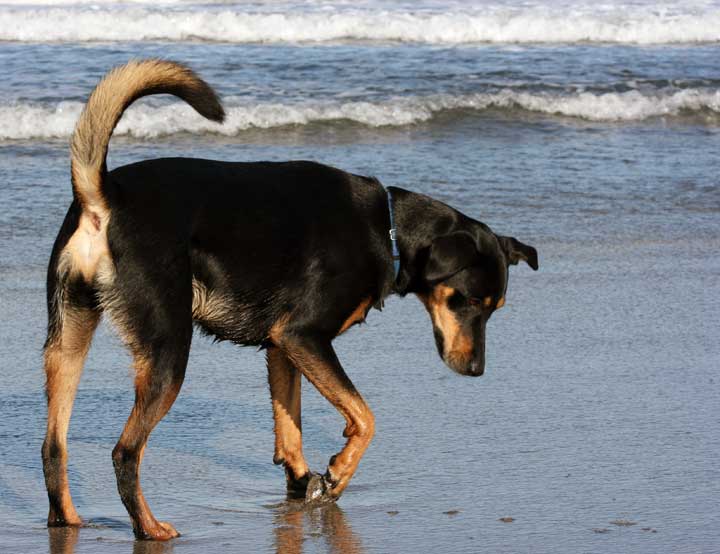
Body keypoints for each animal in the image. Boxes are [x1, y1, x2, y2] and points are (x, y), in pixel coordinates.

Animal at [39, 60, 536, 540]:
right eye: (466, 301)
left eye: (495, 309)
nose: (477, 370)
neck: (387, 229)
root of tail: (104, 196)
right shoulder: (304, 337)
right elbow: (365, 417)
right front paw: (338, 473)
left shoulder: (281, 346)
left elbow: (290, 424)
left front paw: (303, 482)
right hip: (167, 352)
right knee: (126, 452)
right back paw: (148, 527)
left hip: (69, 338)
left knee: (53, 445)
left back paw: (68, 520)